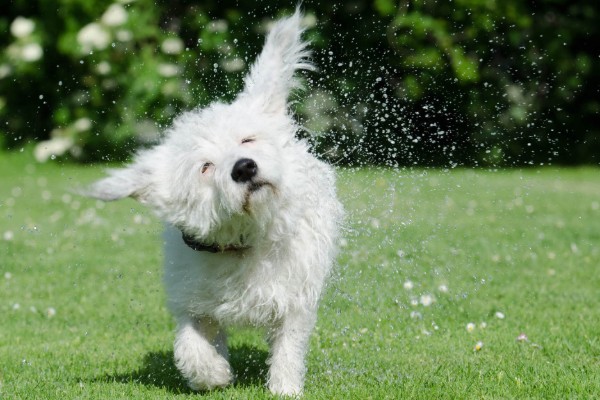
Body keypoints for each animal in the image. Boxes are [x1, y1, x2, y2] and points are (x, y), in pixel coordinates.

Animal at [87, 9, 344, 396]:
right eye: (206, 167)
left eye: (247, 140)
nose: (244, 167)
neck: (241, 241)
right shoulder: (193, 300)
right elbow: (190, 344)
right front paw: (215, 374)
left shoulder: (292, 297)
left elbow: (288, 345)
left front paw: (284, 388)